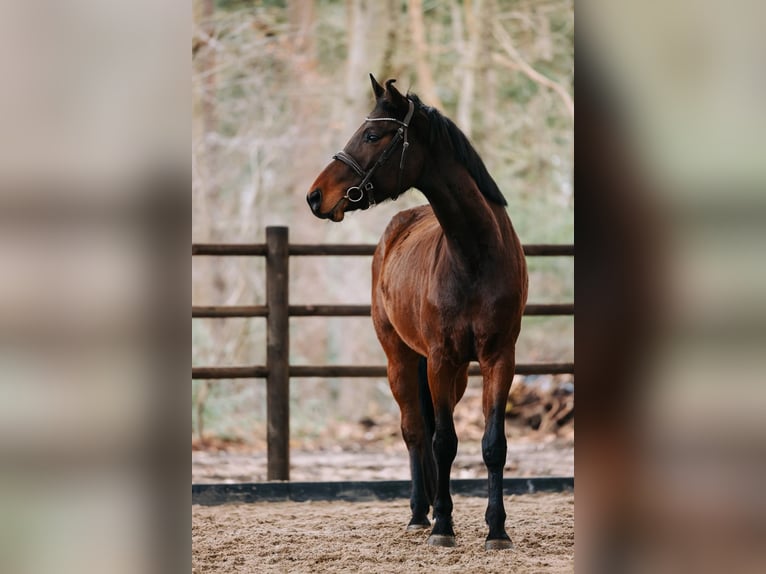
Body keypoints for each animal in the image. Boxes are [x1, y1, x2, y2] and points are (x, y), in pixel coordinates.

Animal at [306, 74, 528, 552]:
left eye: (372, 135)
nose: (315, 196)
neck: (475, 255)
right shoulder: (440, 360)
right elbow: (444, 442)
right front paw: (443, 525)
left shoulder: (499, 358)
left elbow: (493, 444)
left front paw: (496, 529)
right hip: (401, 361)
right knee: (414, 431)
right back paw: (418, 514)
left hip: (453, 373)